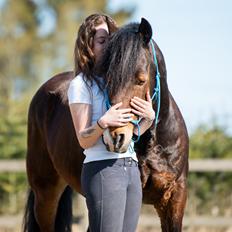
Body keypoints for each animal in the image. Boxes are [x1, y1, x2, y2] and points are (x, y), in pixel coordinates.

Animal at [23, 18, 188, 232]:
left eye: (141, 80)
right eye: (107, 80)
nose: (115, 138)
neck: (155, 143)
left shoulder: (174, 199)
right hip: (45, 194)